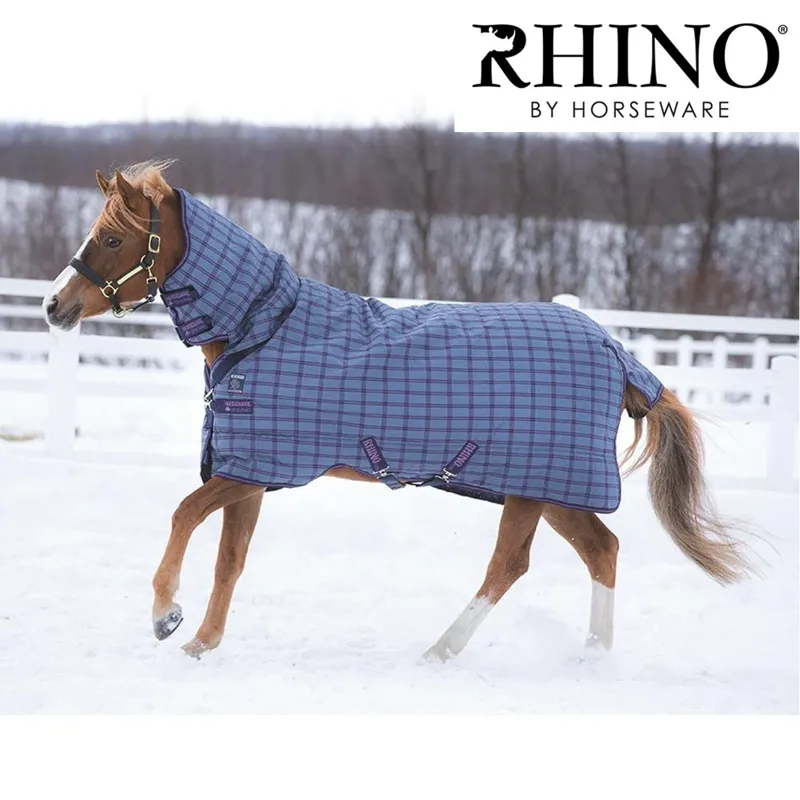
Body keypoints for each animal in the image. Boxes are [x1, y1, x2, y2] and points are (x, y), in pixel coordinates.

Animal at [42, 161, 754, 661]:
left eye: (111, 239)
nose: (54, 305)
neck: (262, 330)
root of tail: (616, 350)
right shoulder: (249, 474)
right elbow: (229, 558)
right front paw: (201, 643)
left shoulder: (254, 467)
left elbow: (183, 515)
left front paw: (165, 616)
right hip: (552, 489)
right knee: (601, 550)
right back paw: (593, 655)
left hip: (534, 488)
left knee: (511, 566)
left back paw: (441, 651)